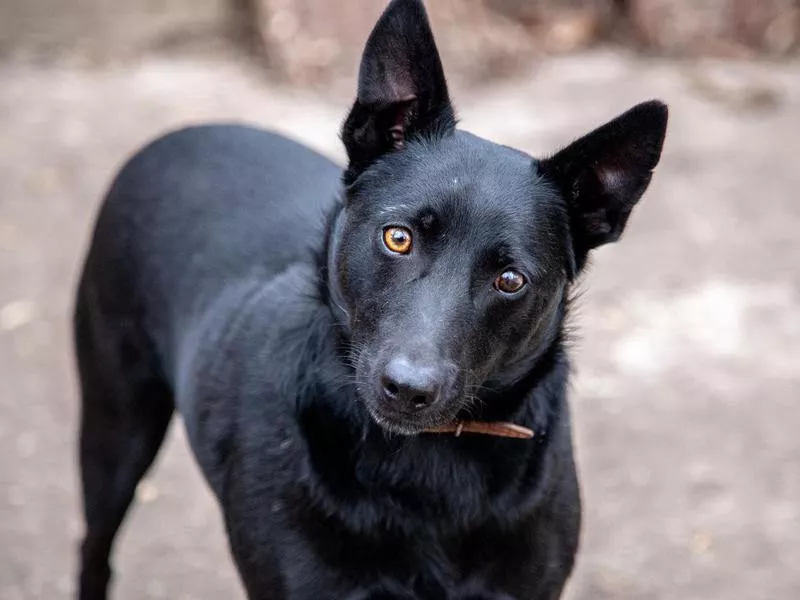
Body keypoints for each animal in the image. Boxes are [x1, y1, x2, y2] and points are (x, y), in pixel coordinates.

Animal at [75, 2, 664, 596]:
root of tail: (181, 133)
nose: (408, 388)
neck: (425, 463)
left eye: (511, 279)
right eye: (398, 238)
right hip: (115, 427)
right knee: (95, 547)